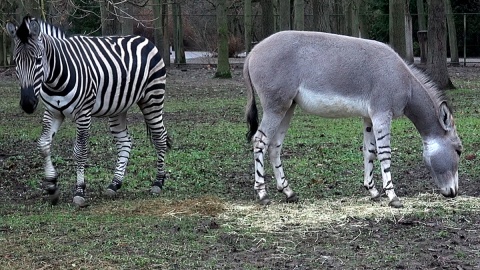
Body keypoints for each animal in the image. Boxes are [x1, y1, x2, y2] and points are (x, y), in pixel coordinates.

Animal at [6, 15, 170, 207]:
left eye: (38, 60)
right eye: (16, 61)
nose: (27, 103)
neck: (55, 79)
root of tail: (144, 39)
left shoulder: (83, 113)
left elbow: (80, 151)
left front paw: (79, 191)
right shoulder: (53, 112)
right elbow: (43, 144)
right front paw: (52, 187)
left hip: (152, 98)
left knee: (160, 137)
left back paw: (158, 182)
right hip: (118, 107)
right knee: (125, 141)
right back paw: (114, 184)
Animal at [244, 31, 462, 208]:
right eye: (459, 150)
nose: (453, 193)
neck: (405, 83)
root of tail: (252, 51)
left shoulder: (369, 117)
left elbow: (369, 151)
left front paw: (372, 191)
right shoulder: (382, 114)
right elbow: (385, 153)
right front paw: (392, 196)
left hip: (288, 107)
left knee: (275, 145)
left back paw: (288, 192)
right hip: (275, 106)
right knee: (260, 141)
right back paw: (262, 194)